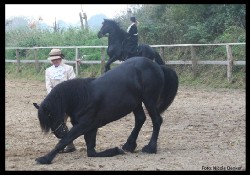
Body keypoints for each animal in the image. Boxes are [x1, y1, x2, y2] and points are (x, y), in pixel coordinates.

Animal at [33, 56, 178, 165]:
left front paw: (44, 158)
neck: (82, 98)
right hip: (136, 103)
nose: (59, 133)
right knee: (140, 119)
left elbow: (65, 141)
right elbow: (91, 151)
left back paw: (150, 148)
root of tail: (157, 66)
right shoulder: (91, 127)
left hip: (149, 99)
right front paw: (115, 151)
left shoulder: (83, 125)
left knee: (156, 120)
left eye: (51, 115)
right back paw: (129, 145)